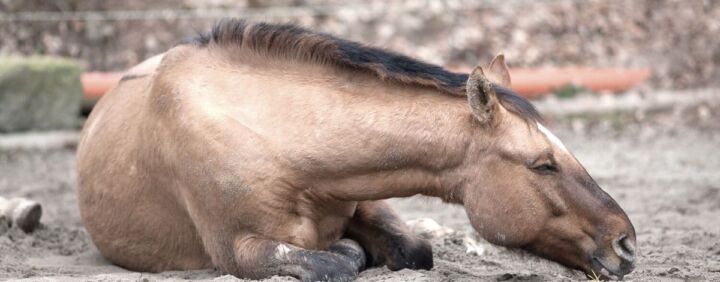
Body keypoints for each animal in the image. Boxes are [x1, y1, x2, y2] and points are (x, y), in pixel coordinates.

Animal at [77, 19, 636, 282]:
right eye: (543, 164)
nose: (626, 244)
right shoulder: (239, 249)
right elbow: (335, 261)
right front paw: (350, 252)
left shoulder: (366, 196)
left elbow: (414, 250)